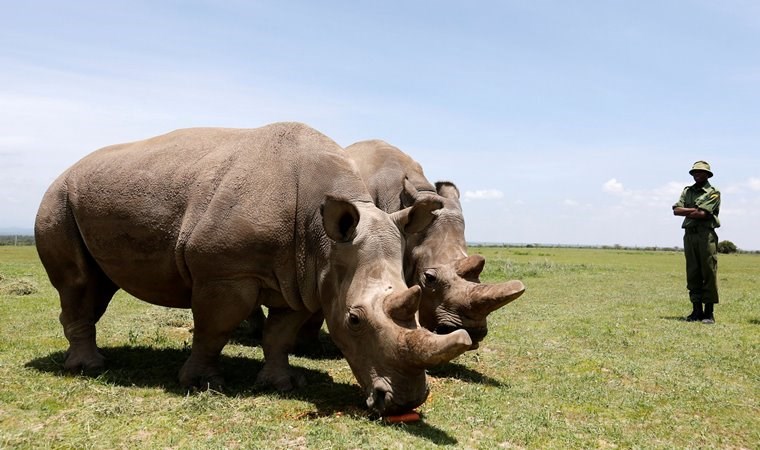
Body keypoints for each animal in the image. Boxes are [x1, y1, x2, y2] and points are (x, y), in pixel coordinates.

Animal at [38, 122, 472, 414]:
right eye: (354, 320)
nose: (405, 402)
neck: (324, 237)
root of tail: (67, 169)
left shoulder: (304, 277)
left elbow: (280, 334)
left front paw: (284, 383)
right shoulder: (224, 272)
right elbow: (213, 328)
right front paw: (204, 383)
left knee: (98, 284)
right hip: (58, 197)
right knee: (77, 283)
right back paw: (90, 369)